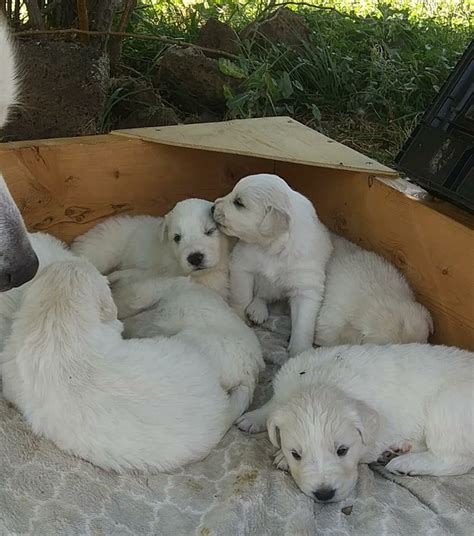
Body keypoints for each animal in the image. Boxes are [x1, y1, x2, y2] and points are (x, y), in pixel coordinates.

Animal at [213, 172, 332, 356]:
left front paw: (299, 352)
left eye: (239, 203)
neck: (273, 248)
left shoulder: (306, 287)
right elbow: (242, 297)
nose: (212, 207)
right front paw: (240, 320)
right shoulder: (242, 266)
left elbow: (303, 325)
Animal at [237, 344, 474, 502]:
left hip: (446, 406)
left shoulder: (374, 436)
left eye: (343, 450)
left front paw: (280, 457)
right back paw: (398, 449)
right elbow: (273, 405)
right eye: (296, 453)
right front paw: (253, 417)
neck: (320, 381)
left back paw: (405, 462)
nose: (324, 494)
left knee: (457, 458)